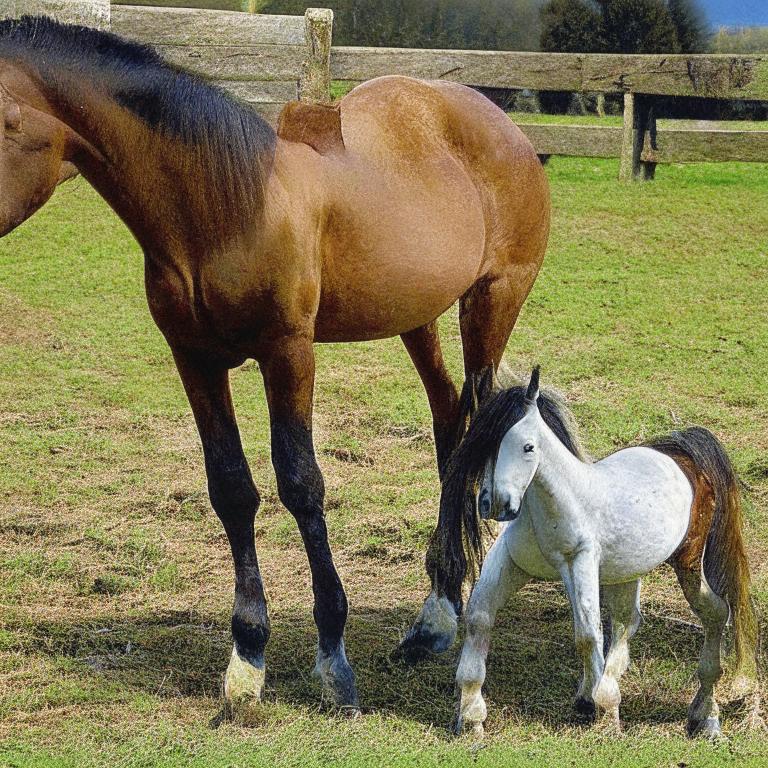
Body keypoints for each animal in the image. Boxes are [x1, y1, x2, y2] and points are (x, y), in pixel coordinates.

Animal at [0, 17, 550, 712]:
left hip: (492, 302)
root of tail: (503, 124)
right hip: (416, 317)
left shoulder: (288, 353)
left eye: (2, 120)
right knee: (451, 429)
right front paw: (247, 656)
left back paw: (442, 613)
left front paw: (333, 659)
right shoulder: (196, 361)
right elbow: (232, 488)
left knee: (477, 429)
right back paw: (435, 616)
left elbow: (300, 483)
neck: (225, 208)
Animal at [443, 367, 758, 737]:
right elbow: (479, 617)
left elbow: (586, 633)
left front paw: (601, 711)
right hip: (628, 572)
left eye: (528, 447)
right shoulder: (511, 560)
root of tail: (683, 451)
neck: (556, 503)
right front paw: (471, 716)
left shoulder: (579, 562)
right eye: (483, 443)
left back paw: (705, 717)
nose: (498, 505)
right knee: (628, 621)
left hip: (688, 563)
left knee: (716, 612)